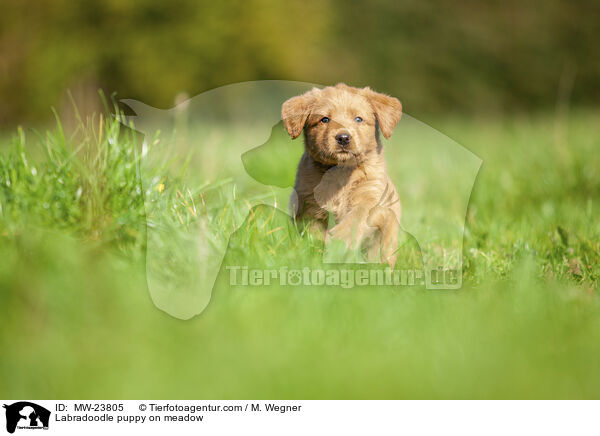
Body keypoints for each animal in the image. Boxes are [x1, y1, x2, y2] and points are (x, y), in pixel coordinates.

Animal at [282, 82, 404, 266]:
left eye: (358, 119)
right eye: (325, 119)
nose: (344, 138)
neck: (339, 171)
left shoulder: (373, 197)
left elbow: (357, 216)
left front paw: (341, 239)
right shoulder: (308, 204)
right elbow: (314, 233)